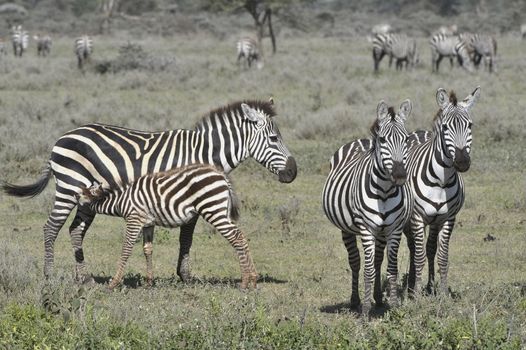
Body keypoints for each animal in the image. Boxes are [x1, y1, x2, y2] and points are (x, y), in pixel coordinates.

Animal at [78, 165, 258, 292]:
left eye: (79, 196)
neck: (121, 201)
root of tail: (221, 175)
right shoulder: (148, 224)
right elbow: (147, 249)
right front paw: (149, 282)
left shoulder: (134, 220)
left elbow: (126, 250)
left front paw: (113, 283)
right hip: (221, 210)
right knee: (241, 236)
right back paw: (254, 280)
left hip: (212, 209)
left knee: (236, 237)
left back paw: (244, 282)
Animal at [322, 100, 416, 316]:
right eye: (382, 140)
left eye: (406, 139)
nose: (399, 175)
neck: (384, 191)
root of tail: (360, 141)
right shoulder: (366, 229)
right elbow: (368, 270)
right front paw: (365, 311)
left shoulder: (394, 229)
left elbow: (391, 268)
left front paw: (394, 306)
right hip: (347, 228)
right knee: (355, 261)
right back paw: (355, 300)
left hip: (381, 231)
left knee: (378, 259)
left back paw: (379, 298)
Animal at [404, 86, 482, 296]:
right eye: (446, 127)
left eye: (470, 125)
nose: (462, 162)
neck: (441, 181)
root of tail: (419, 132)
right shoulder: (417, 217)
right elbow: (419, 256)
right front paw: (416, 295)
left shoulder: (448, 218)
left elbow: (442, 256)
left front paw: (443, 294)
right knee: (413, 248)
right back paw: (412, 286)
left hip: (435, 221)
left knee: (430, 248)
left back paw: (430, 285)